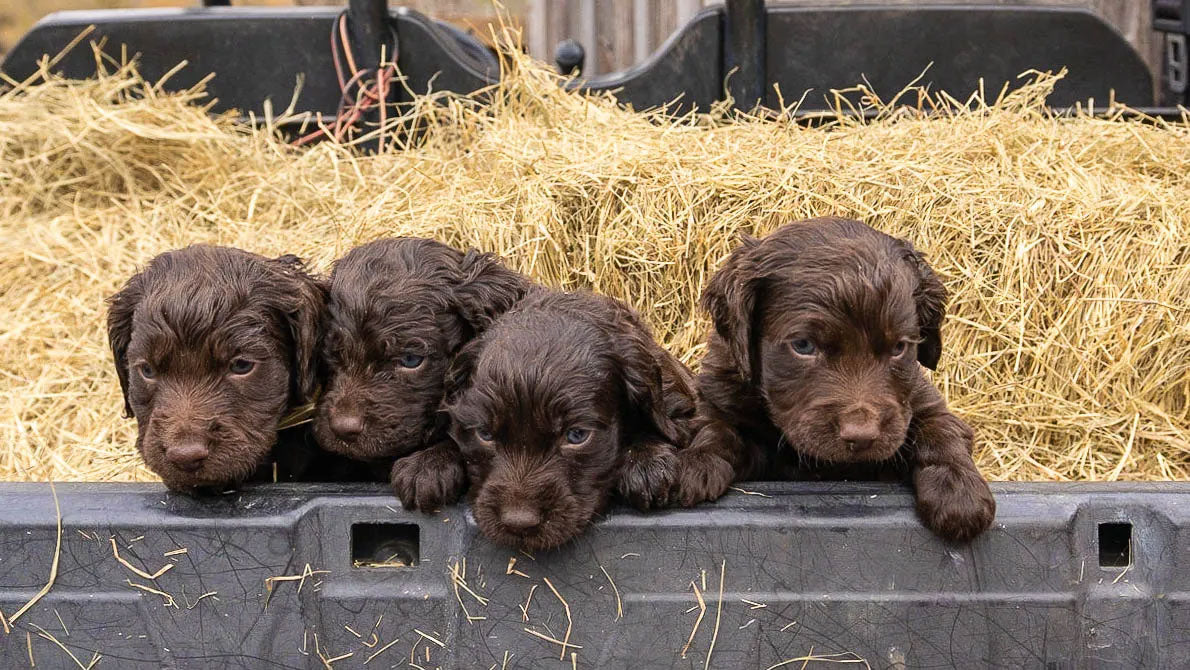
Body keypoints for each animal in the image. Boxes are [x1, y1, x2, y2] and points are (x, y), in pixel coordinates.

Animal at [680, 217, 994, 542]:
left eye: (899, 348)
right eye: (803, 345)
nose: (862, 436)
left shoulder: (919, 400)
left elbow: (940, 429)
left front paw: (959, 490)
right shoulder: (723, 395)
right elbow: (716, 427)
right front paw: (699, 462)